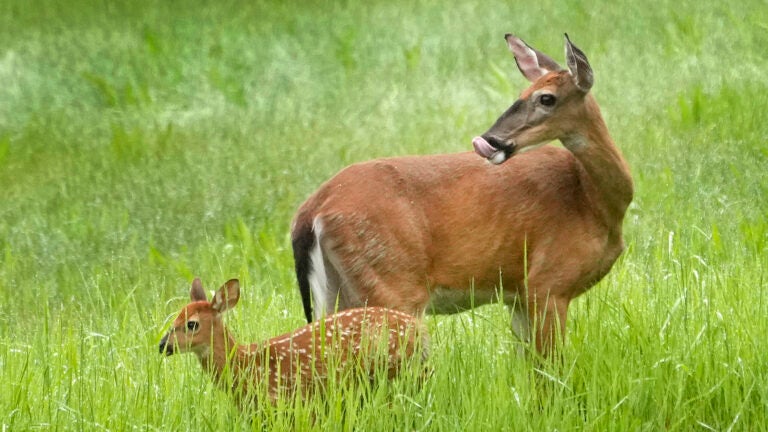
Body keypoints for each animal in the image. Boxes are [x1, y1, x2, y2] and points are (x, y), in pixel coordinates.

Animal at [292, 33, 632, 356]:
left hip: (337, 294)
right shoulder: (547, 283)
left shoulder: (518, 296)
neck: (593, 201)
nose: (489, 140)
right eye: (521, 95)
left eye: (546, 98)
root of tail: (310, 212)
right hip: (392, 285)